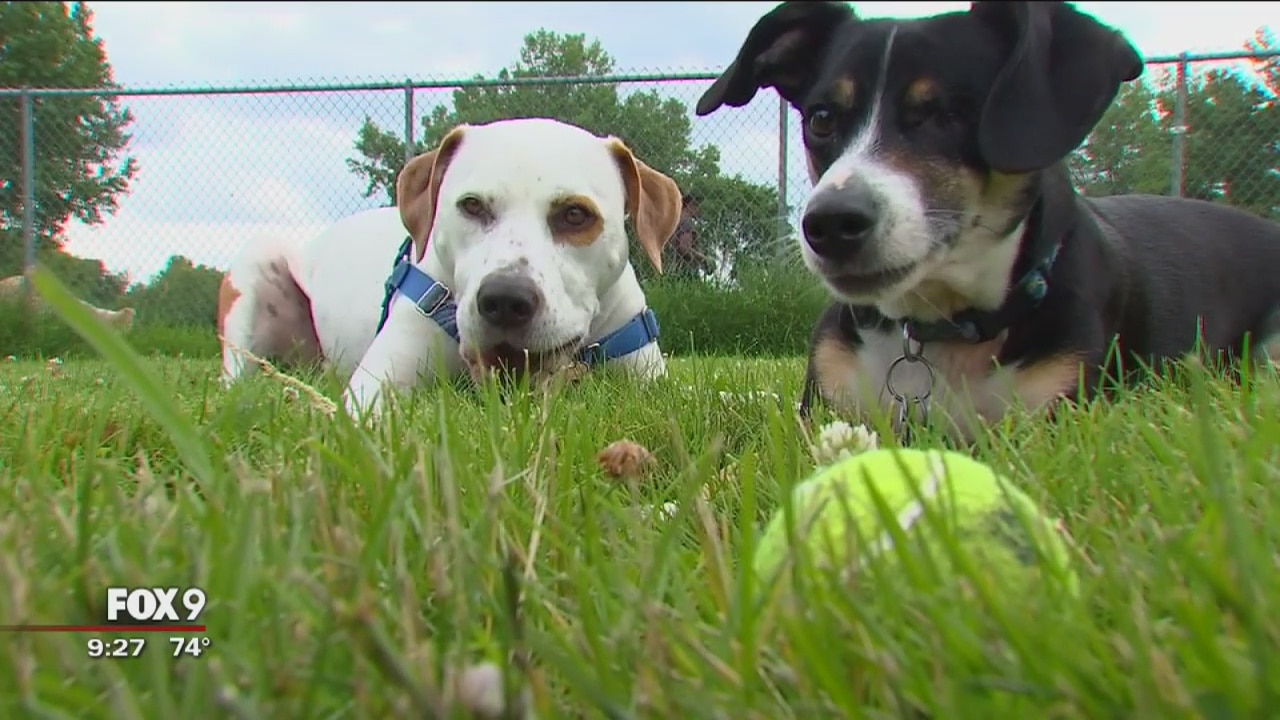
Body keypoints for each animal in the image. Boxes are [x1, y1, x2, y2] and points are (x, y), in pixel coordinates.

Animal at [218, 117, 683, 416]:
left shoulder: (649, 378)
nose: (505, 299)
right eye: (472, 205)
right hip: (254, 262)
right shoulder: (377, 384)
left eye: (575, 214)